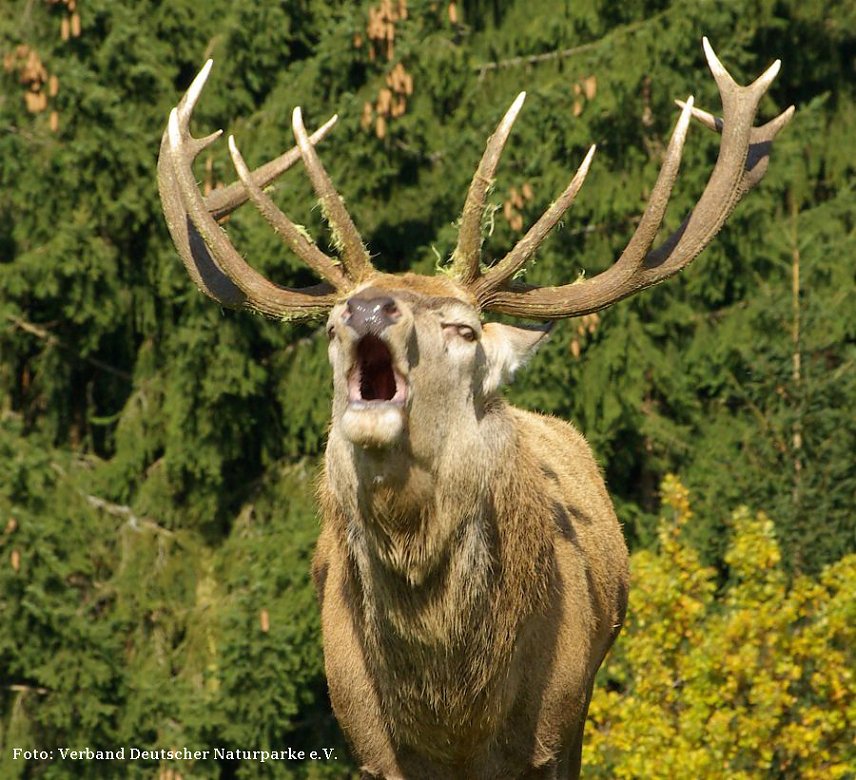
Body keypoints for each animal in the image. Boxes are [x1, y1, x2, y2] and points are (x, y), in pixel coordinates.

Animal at [158, 38, 792, 779]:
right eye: (331, 328)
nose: (367, 307)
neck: (452, 715)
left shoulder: (547, 731)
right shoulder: (368, 745)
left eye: (463, 329)